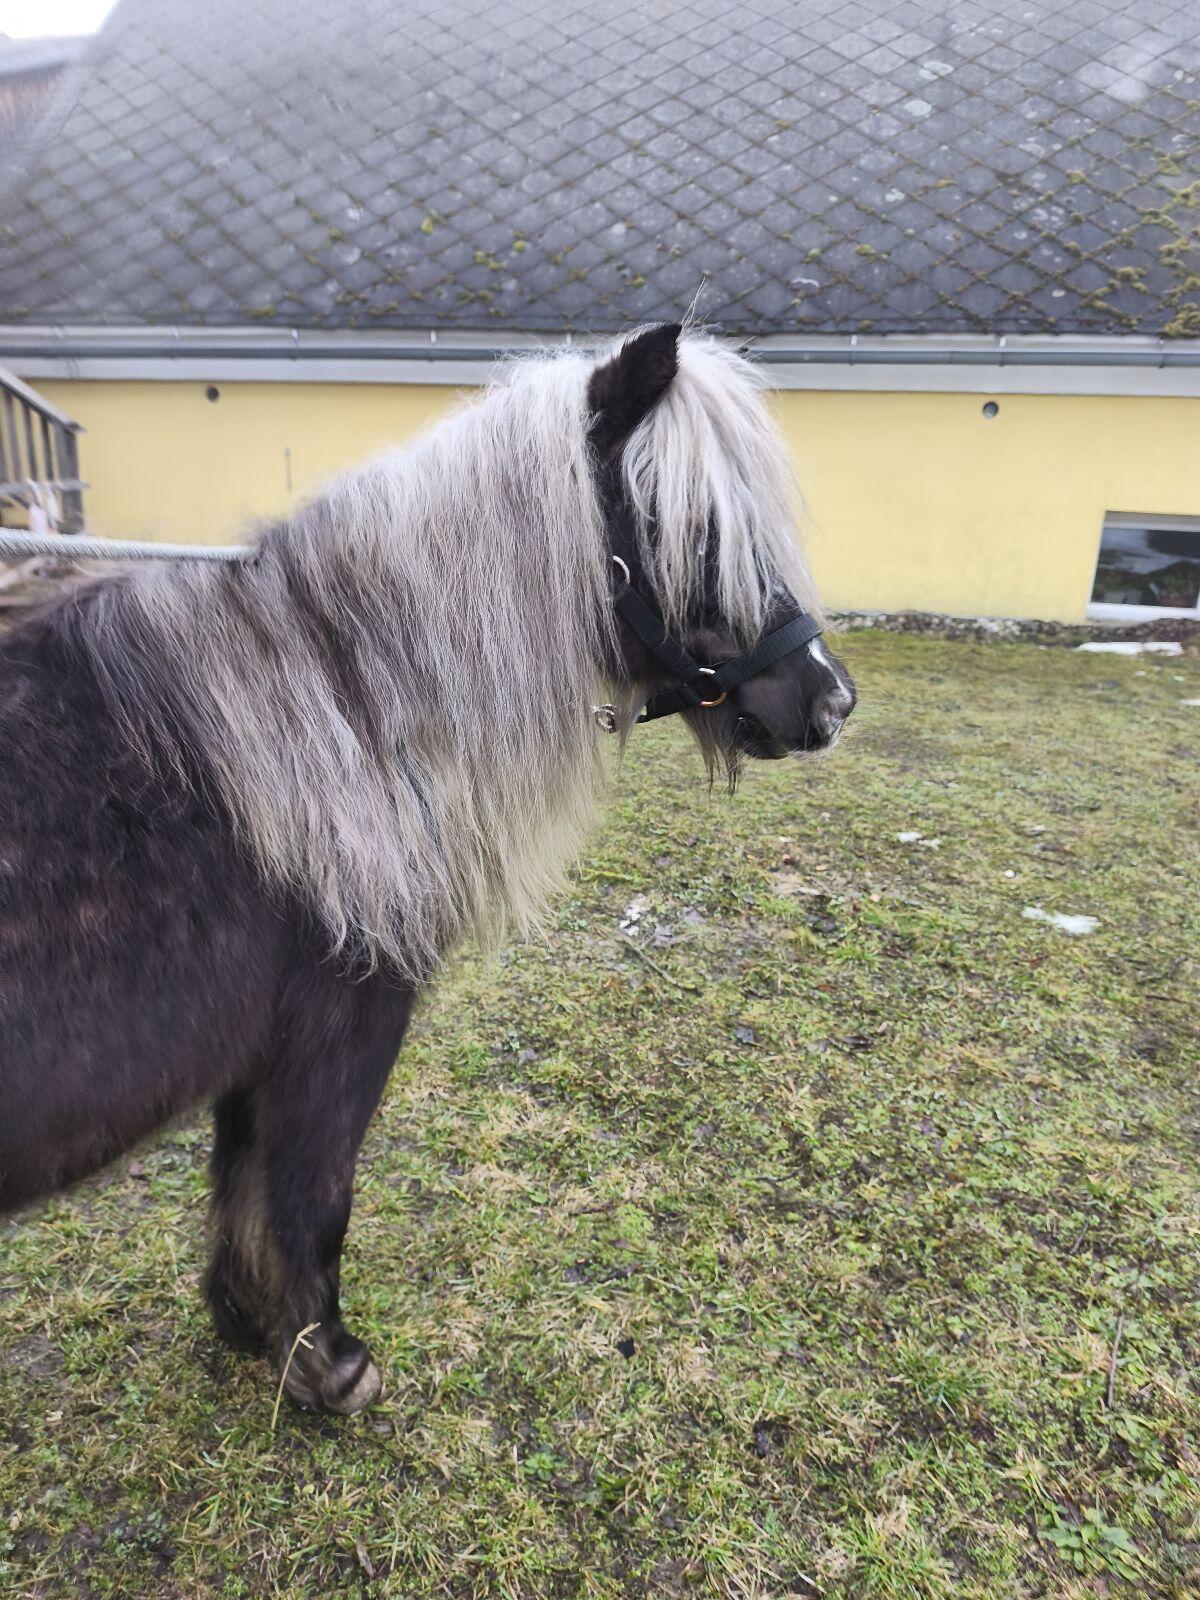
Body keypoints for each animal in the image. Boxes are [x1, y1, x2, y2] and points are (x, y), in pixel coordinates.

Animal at [0, 323, 855, 1413]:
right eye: (697, 530)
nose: (831, 701)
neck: (336, 714)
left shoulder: (259, 1054)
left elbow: (240, 1180)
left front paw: (251, 1325)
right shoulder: (340, 1027)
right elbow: (315, 1196)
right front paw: (329, 1366)